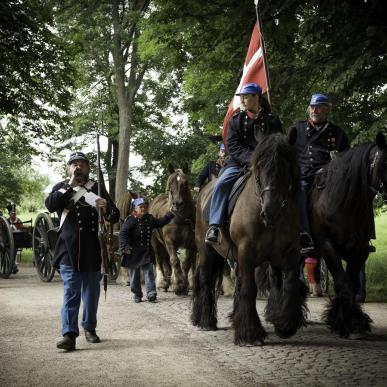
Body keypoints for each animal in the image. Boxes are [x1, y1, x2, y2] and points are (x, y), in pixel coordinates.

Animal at [149, 163, 197, 294]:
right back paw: (162, 282)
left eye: (185, 183)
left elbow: (186, 263)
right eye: (170, 184)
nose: (177, 204)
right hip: (155, 242)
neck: (181, 218)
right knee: (159, 259)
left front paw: (185, 284)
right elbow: (175, 261)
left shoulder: (192, 243)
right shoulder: (170, 241)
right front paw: (179, 285)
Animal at [192, 131, 308, 346]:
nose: (271, 211)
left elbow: (288, 285)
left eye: (287, 166)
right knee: (205, 279)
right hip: (206, 251)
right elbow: (249, 288)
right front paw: (249, 333)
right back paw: (206, 321)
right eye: (259, 166)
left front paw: (286, 324)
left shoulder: (290, 252)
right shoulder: (247, 250)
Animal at [312, 132, 387, 338]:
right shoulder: (327, 247)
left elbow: (351, 284)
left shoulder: (359, 251)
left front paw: (353, 321)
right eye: (386, 162)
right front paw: (342, 322)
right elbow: (341, 283)